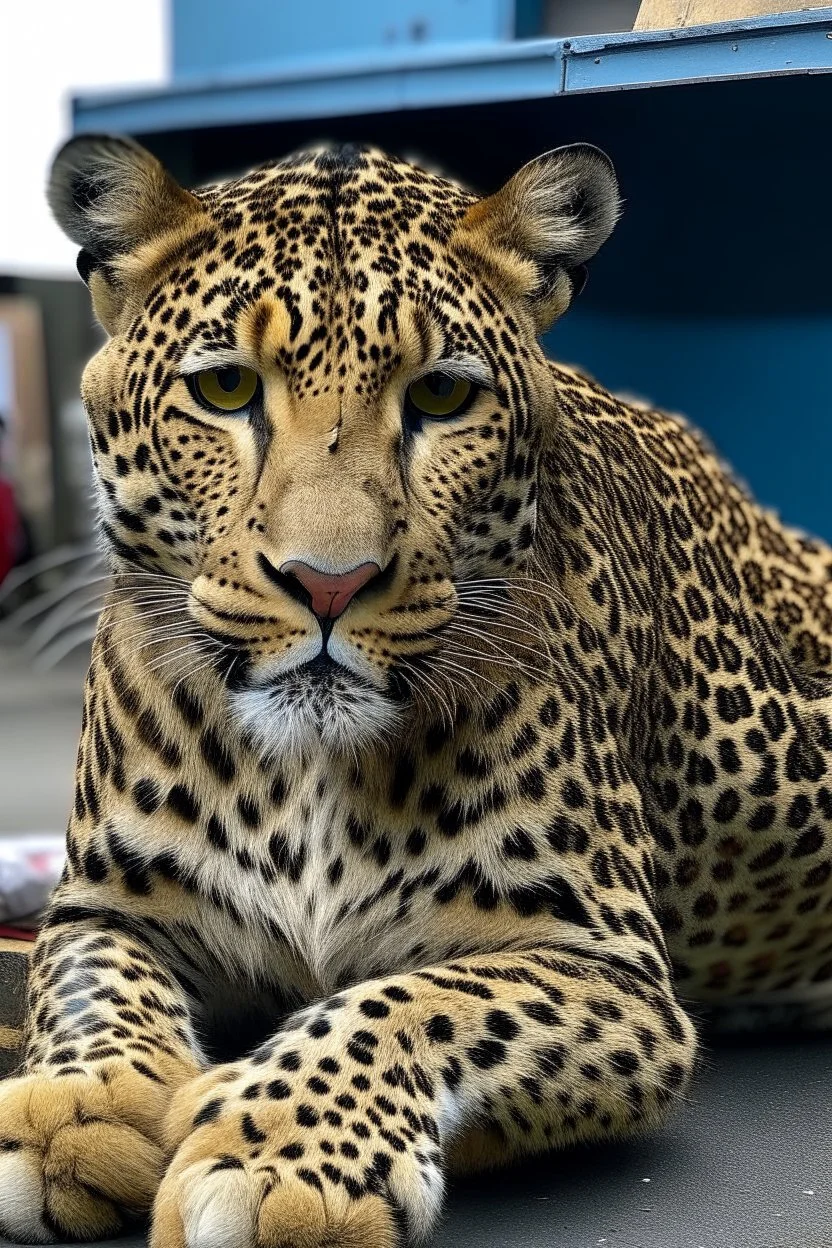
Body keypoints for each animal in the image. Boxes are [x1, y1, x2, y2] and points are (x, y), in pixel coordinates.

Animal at [1, 136, 832, 1248]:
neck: (302, 776)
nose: (327, 584)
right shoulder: (103, 904)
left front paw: (277, 1159)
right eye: (224, 390)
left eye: (440, 399)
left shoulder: (601, 963)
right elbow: (87, 986)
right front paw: (75, 1112)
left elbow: (410, 1003)